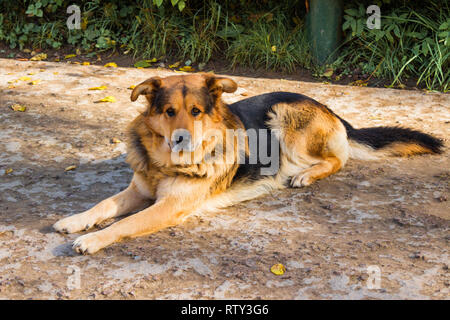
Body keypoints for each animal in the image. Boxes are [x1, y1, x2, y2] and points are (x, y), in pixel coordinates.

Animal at [52, 73, 442, 255]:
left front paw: (93, 239)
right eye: (169, 112)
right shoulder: (138, 190)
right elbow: (104, 205)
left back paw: (303, 176)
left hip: (283, 117)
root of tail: (327, 107)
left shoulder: (169, 206)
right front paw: (75, 221)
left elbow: (125, 222)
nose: (182, 140)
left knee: (337, 159)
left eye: (196, 111)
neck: (165, 164)